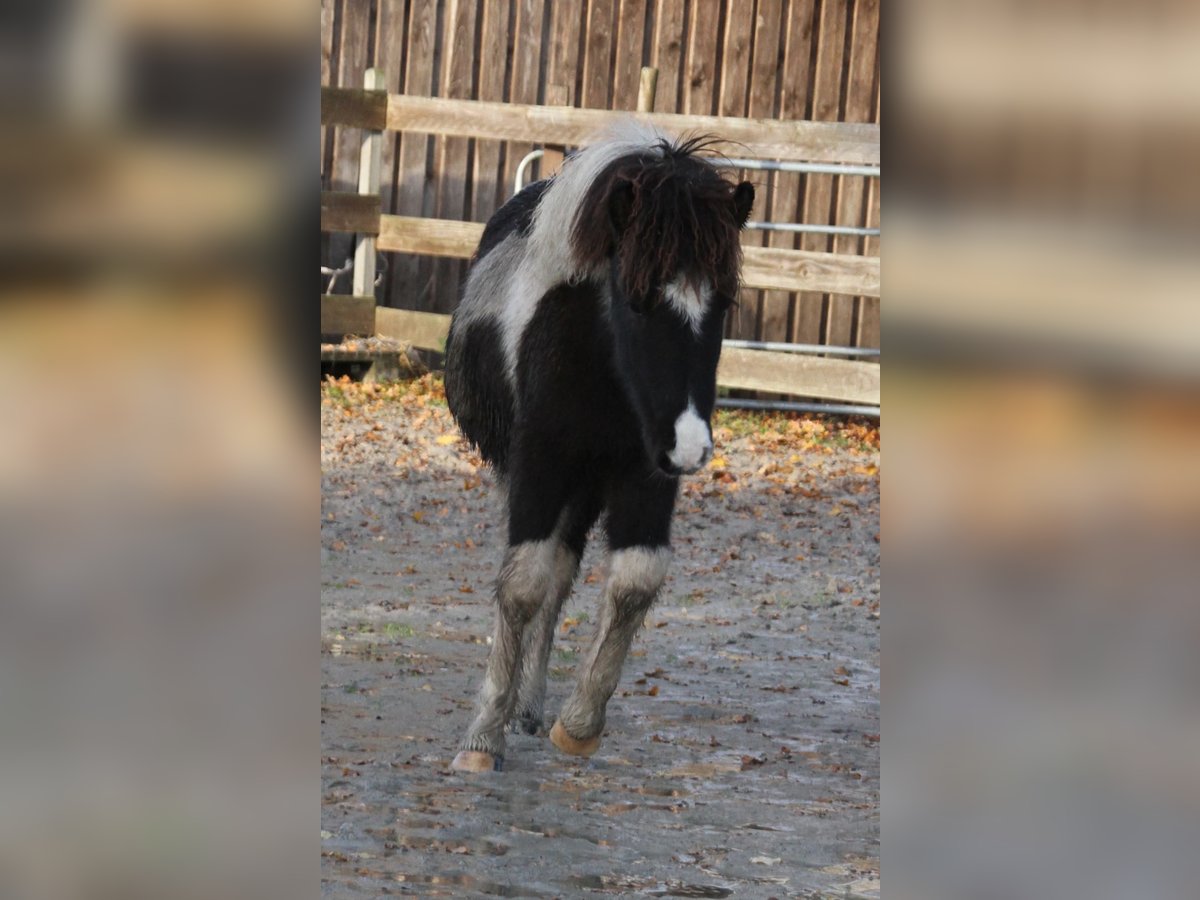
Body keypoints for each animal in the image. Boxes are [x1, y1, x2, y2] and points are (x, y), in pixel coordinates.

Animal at [446, 121, 753, 777]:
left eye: (722, 302)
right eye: (637, 300)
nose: (691, 446)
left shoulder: (646, 472)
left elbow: (634, 579)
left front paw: (579, 725)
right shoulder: (539, 465)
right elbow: (521, 584)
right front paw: (481, 738)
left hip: (586, 490)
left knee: (562, 576)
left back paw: (532, 707)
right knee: (543, 579)